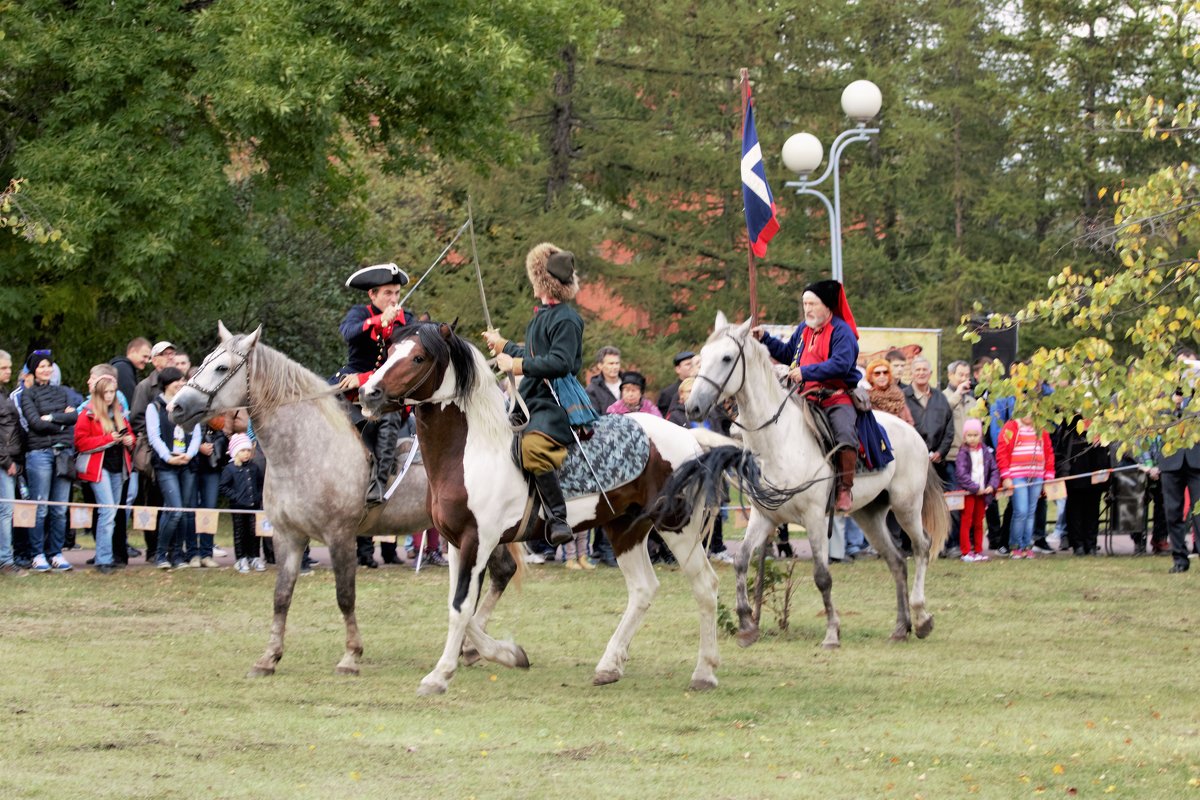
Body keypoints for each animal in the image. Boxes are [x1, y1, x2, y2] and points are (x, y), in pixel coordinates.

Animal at [676, 316, 945, 647]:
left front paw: (832, 632)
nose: (692, 407)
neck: (778, 440)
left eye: (727, 358)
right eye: (702, 354)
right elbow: (741, 561)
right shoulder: (764, 517)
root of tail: (914, 433)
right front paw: (747, 624)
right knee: (896, 561)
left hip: (906, 506)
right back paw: (900, 627)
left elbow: (822, 576)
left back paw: (921, 618)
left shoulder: (815, 517)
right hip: (869, 514)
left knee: (921, 547)